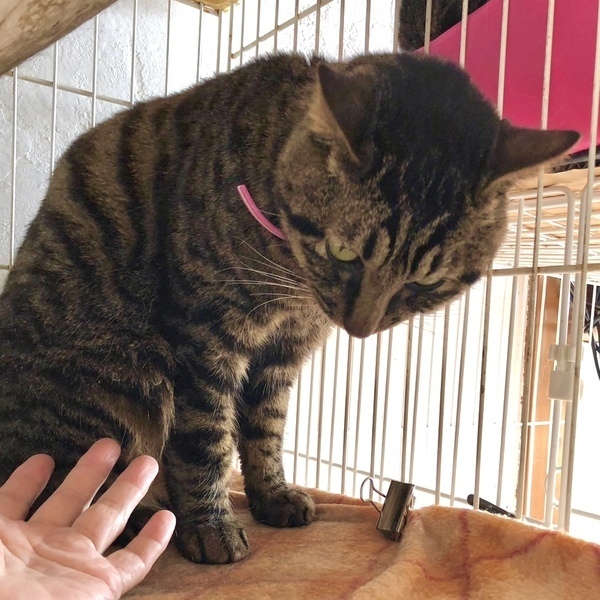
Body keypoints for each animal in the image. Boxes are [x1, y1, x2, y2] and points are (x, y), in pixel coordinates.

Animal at [0, 52, 577, 564]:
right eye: (344, 251)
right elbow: (206, 436)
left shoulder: (283, 351)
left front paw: (271, 495)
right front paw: (209, 524)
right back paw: (140, 518)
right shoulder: (203, 334)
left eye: (425, 280)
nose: (360, 328)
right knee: (65, 484)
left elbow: (264, 428)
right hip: (125, 370)